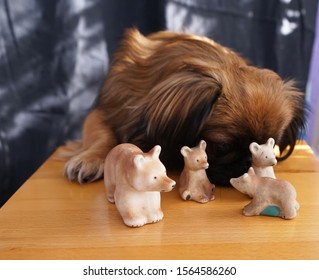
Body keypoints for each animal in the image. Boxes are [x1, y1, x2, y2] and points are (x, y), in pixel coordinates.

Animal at [60, 28, 308, 187]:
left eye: (271, 145)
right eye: (222, 147)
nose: (250, 162)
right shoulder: (106, 111)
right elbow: (103, 135)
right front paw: (90, 159)